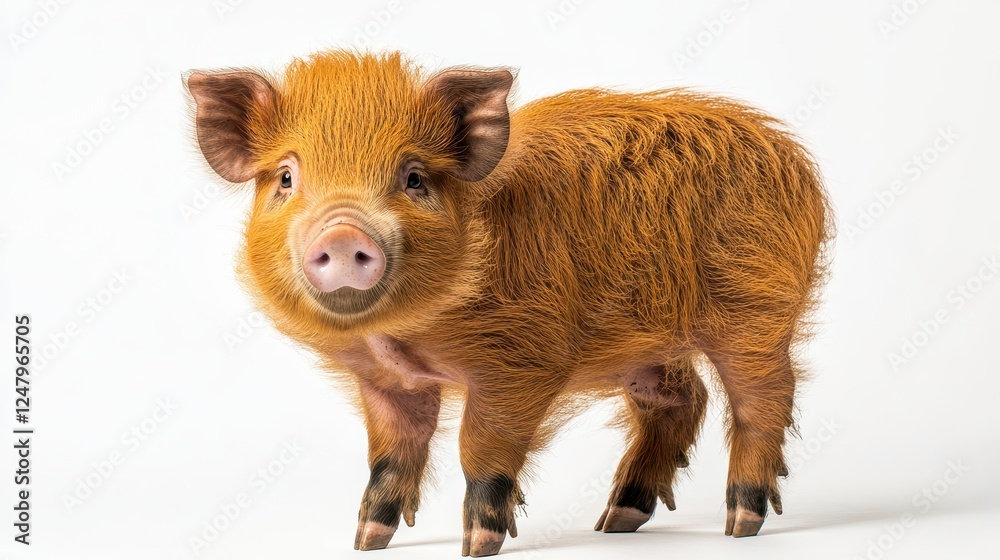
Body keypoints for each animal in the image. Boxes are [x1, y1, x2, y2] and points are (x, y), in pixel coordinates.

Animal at [186, 50, 831, 557]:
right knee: (681, 398)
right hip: (648, 340)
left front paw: (478, 548)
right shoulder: (388, 382)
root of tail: (793, 156)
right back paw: (614, 521)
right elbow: (391, 452)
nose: (344, 233)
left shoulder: (520, 362)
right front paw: (366, 541)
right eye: (286, 178)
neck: (400, 335)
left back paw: (740, 524)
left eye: (414, 178)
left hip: (756, 308)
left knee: (764, 397)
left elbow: (481, 447)